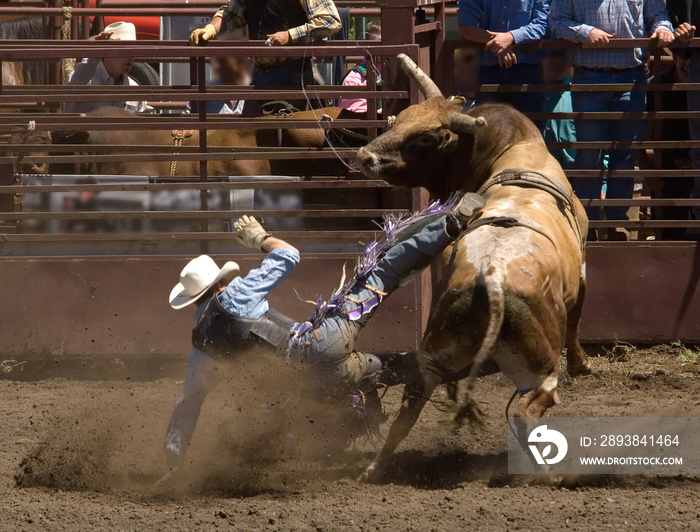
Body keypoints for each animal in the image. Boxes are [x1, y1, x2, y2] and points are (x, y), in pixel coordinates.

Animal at [356, 54, 592, 482]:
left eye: (425, 138)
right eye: (399, 119)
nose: (365, 156)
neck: (514, 151)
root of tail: (492, 281)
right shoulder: (581, 270)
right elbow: (578, 317)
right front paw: (582, 364)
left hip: (434, 352)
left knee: (408, 407)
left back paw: (375, 468)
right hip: (539, 372)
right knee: (524, 412)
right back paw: (548, 473)